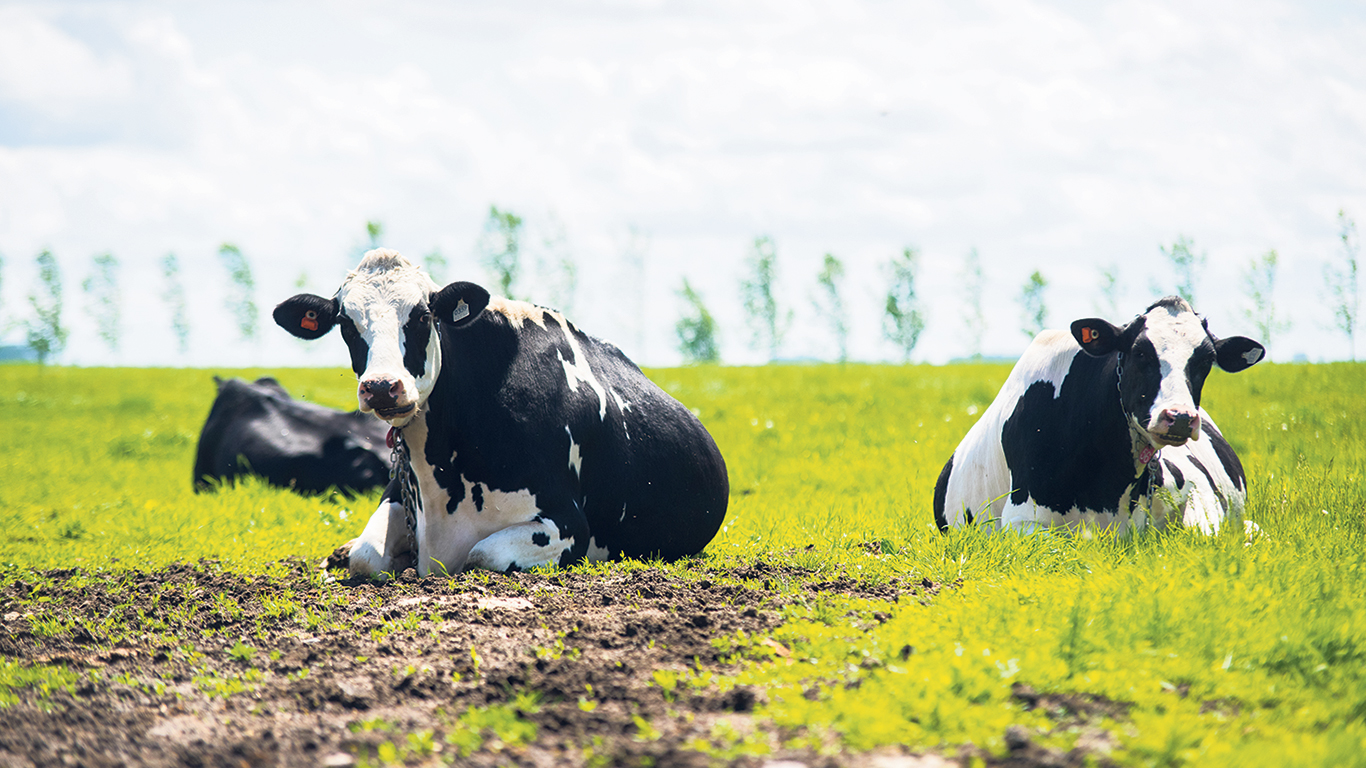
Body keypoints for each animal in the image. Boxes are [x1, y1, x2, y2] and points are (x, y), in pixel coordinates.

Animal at [270, 250, 732, 573]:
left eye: (422, 316)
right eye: (347, 324)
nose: (382, 386)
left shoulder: (566, 524)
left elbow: (481, 555)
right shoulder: (398, 493)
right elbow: (367, 556)